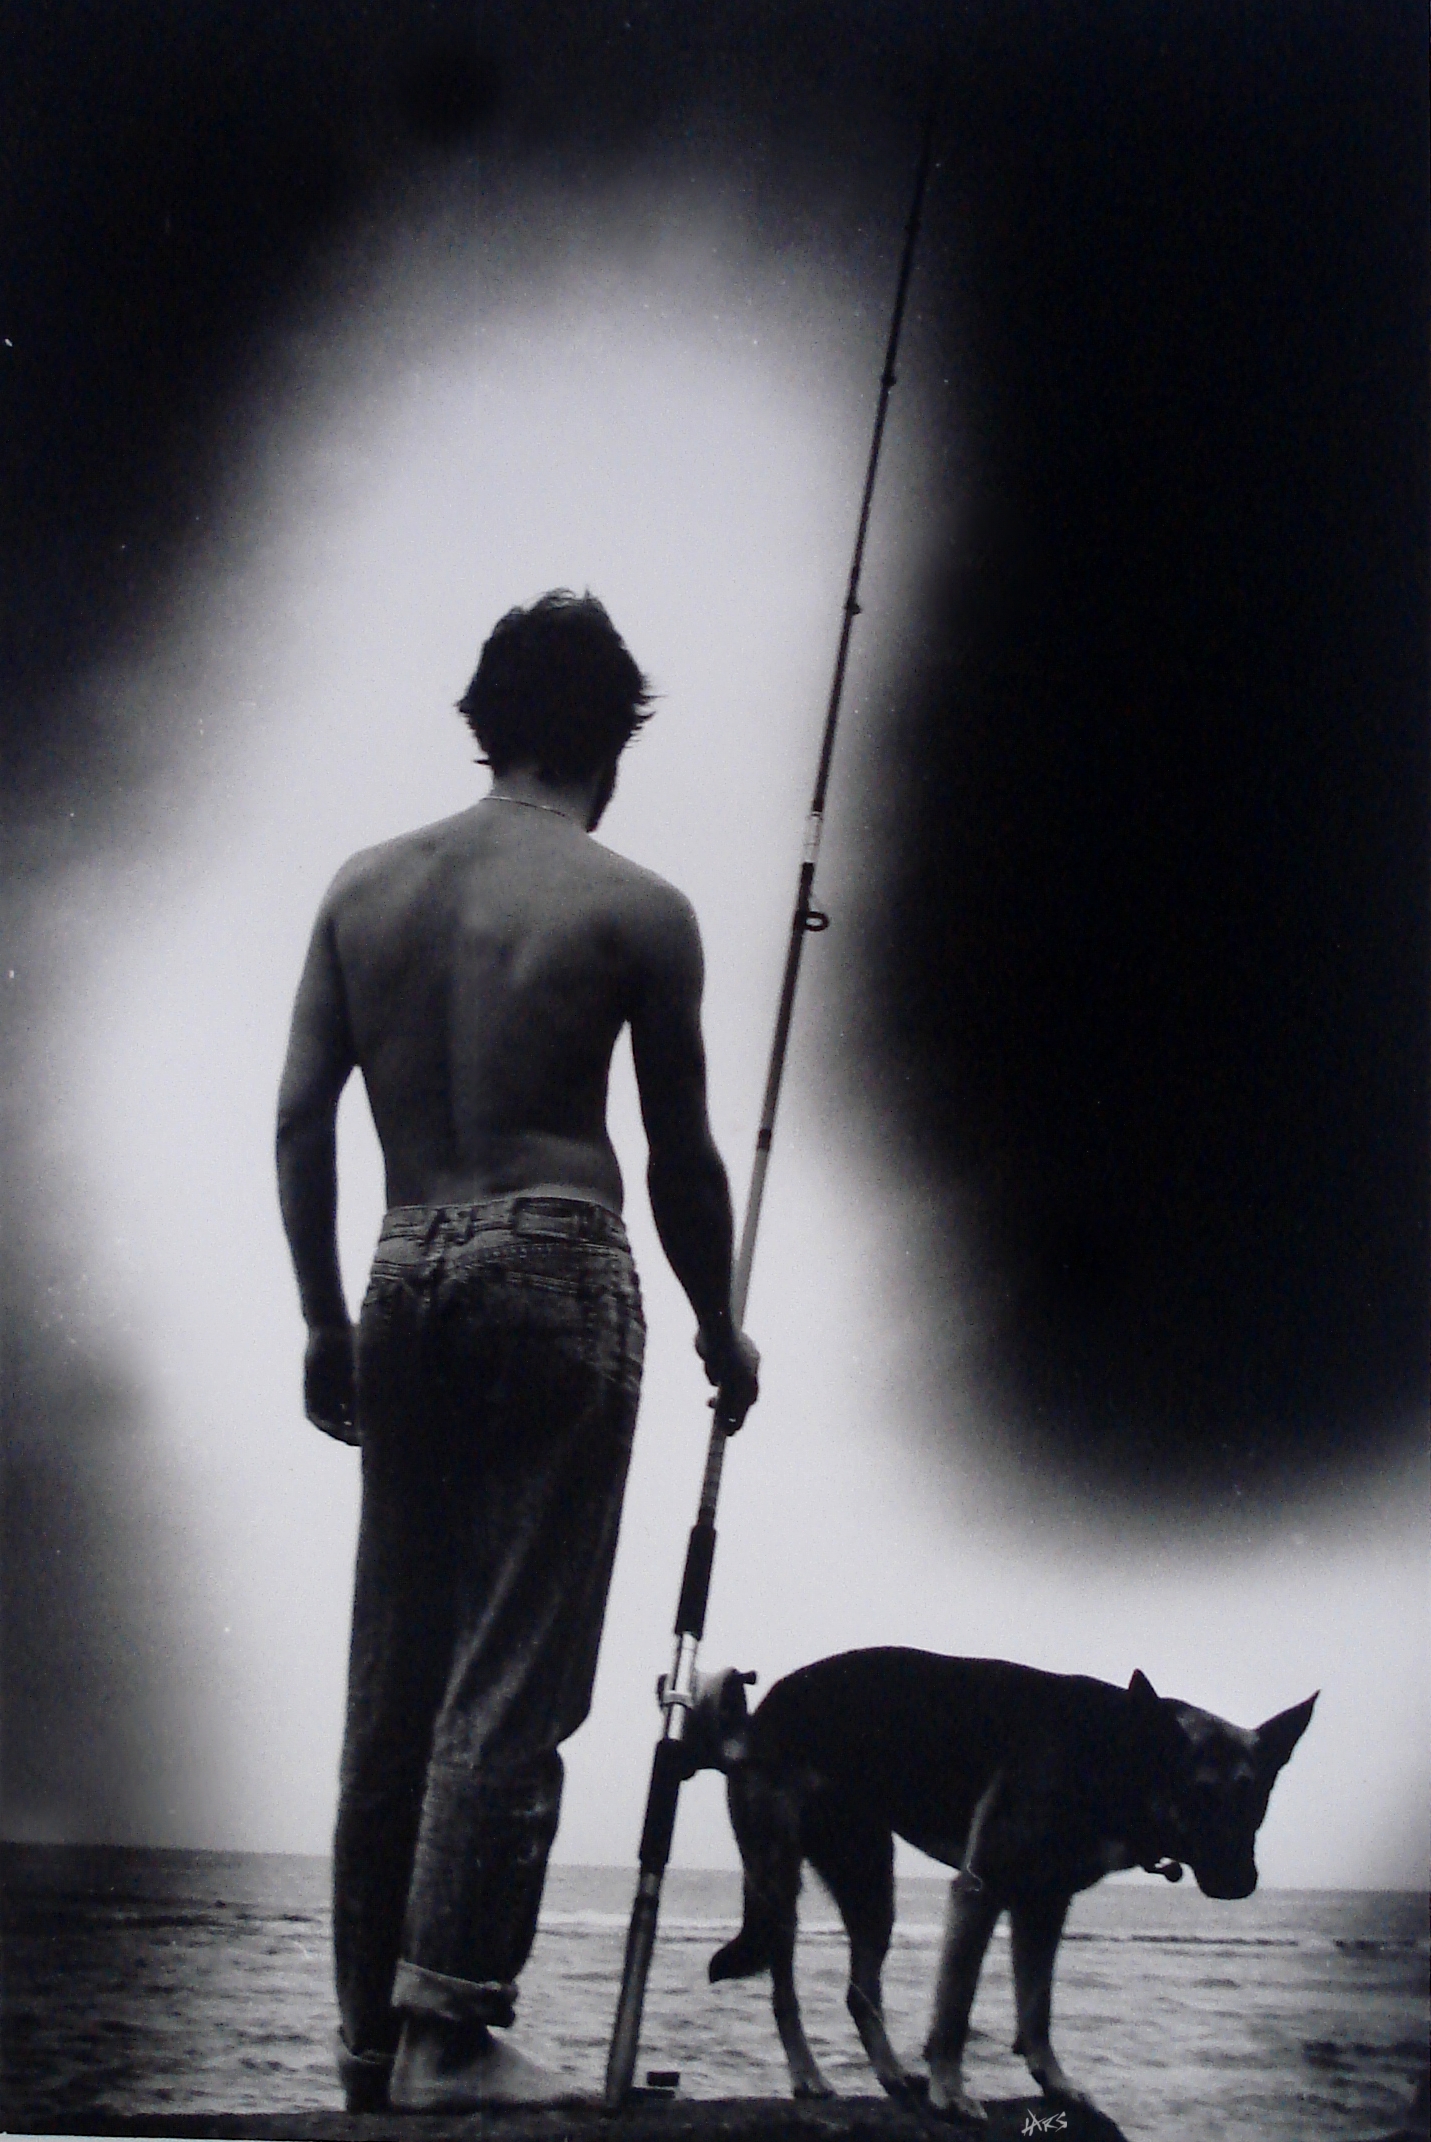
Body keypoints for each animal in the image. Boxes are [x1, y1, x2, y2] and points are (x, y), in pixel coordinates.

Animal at [685, 1649, 1315, 2124]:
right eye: (1200, 1795)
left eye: (1253, 1797)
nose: (1241, 1884)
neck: (1113, 1756)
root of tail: (757, 1719)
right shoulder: (981, 1891)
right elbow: (956, 2011)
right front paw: (952, 2093)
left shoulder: (1044, 1905)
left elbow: (1037, 2008)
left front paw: (1053, 2083)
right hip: (780, 1885)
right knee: (783, 1993)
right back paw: (809, 2076)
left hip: (871, 1886)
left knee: (859, 1990)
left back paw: (891, 2074)